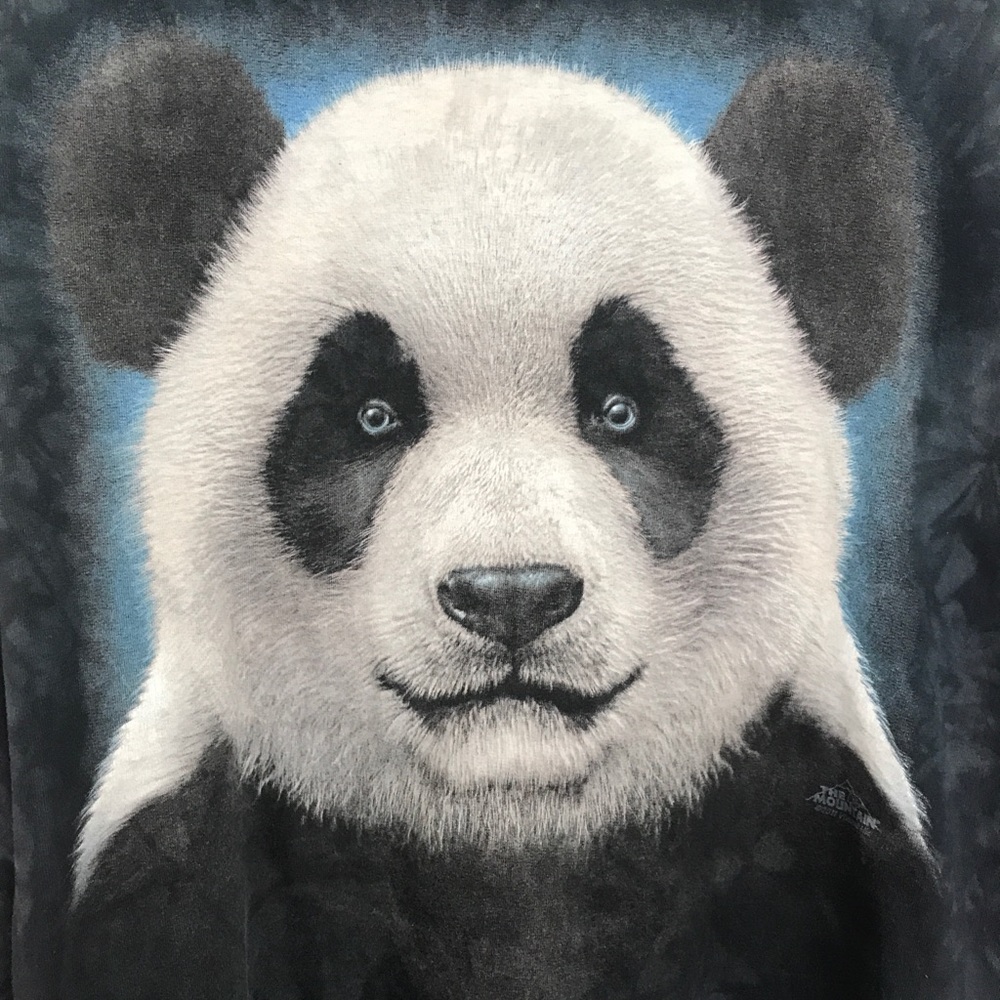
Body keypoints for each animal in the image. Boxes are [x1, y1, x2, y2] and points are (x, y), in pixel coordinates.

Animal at [48, 31, 940, 1000]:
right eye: (374, 416)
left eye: (620, 410)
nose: (511, 594)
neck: (507, 824)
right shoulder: (186, 855)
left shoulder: (804, 817)